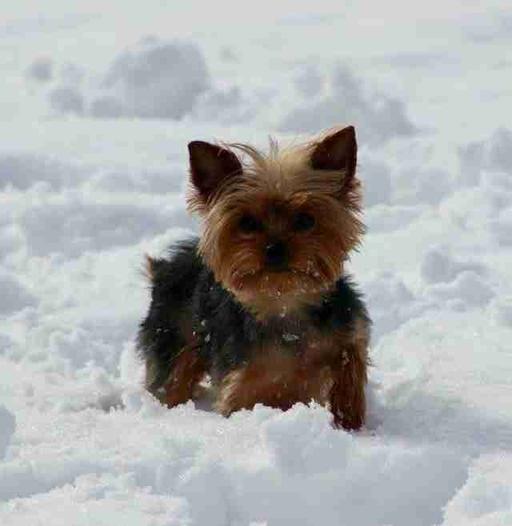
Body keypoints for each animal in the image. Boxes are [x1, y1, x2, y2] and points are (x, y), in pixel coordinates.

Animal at [136, 126, 370, 432]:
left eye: (306, 220)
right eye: (246, 223)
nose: (275, 248)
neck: (284, 304)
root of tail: (165, 267)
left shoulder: (349, 334)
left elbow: (349, 368)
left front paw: (349, 420)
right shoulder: (244, 380)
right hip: (171, 341)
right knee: (171, 382)